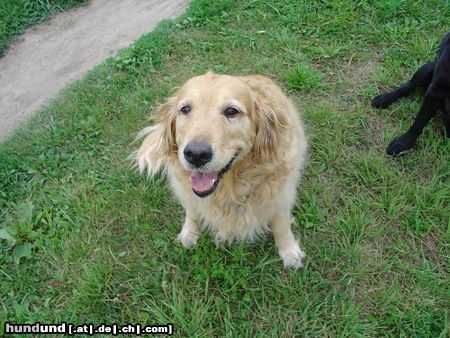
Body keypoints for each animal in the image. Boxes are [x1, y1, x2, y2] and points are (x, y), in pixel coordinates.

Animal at [135, 72, 308, 268]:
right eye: (185, 109)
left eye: (231, 111)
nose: (196, 154)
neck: (229, 188)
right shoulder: (188, 192)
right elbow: (192, 211)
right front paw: (189, 232)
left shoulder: (281, 196)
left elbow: (281, 226)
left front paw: (289, 251)